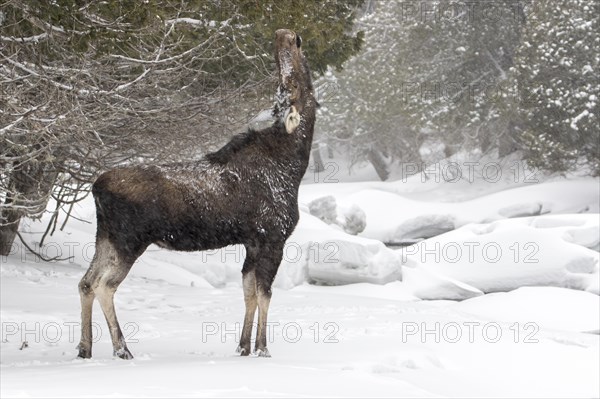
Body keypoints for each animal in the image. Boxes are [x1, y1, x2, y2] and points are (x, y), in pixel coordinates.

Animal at [77, 28, 316, 360]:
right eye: (288, 86)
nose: (286, 35)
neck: (293, 166)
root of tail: (96, 187)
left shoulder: (252, 243)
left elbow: (249, 293)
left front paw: (243, 347)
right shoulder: (272, 237)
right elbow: (265, 293)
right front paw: (263, 349)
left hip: (106, 237)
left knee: (85, 282)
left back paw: (85, 348)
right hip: (130, 240)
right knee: (104, 285)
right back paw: (122, 349)